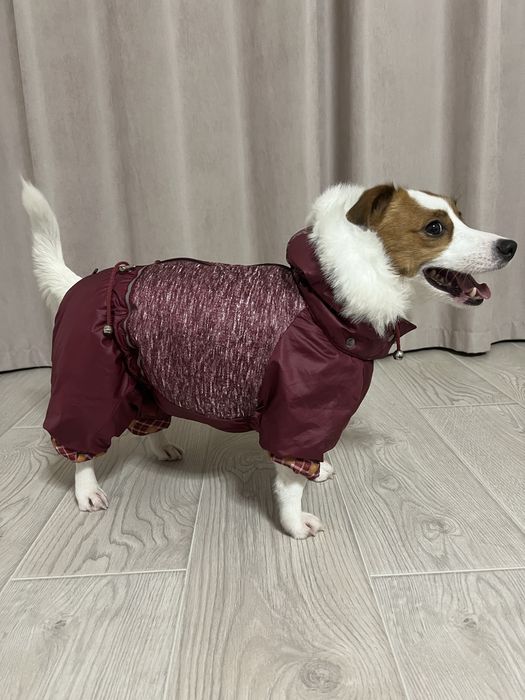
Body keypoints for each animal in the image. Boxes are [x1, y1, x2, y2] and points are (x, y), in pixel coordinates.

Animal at [22, 181, 516, 539]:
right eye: (435, 228)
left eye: (462, 216)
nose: (509, 245)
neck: (325, 299)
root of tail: (79, 283)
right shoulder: (299, 411)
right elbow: (289, 483)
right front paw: (295, 523)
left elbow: (306, 461)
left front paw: (317, 470)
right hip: (90, 379)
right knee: (80, 442)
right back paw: (87, 488)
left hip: (146, 375)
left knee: (147, 419)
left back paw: (160, 448)